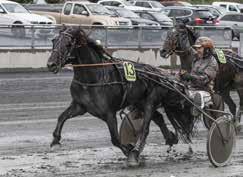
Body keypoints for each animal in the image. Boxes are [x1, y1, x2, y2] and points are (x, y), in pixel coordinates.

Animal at [47, 26, 196, 166]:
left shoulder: (109, 113)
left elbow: (115, 139)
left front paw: (131, 152)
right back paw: (170, 138)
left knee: (145, 128)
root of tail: (157, 73)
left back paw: (137, 150)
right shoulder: (80, 106)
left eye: (68, 44)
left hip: (150, 102)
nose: (51, 64)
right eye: (54, 41)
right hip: (139, 102)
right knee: (158, 118)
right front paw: (55, 140)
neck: (93, 78)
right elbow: (62, 117)